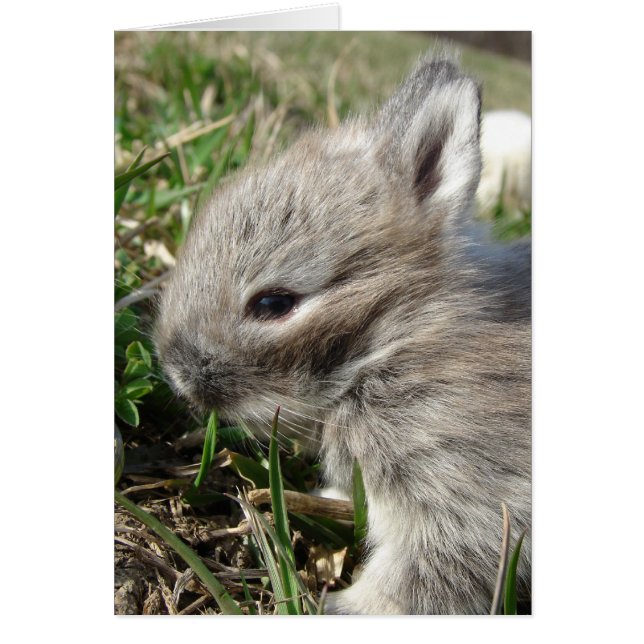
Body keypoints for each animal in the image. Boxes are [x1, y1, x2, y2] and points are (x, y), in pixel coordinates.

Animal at [155, 56, 531, 615]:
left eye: (274, 304)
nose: (178, 374)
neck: (405, 331)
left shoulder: (470, 494)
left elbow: (425, 577)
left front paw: (339, 609)